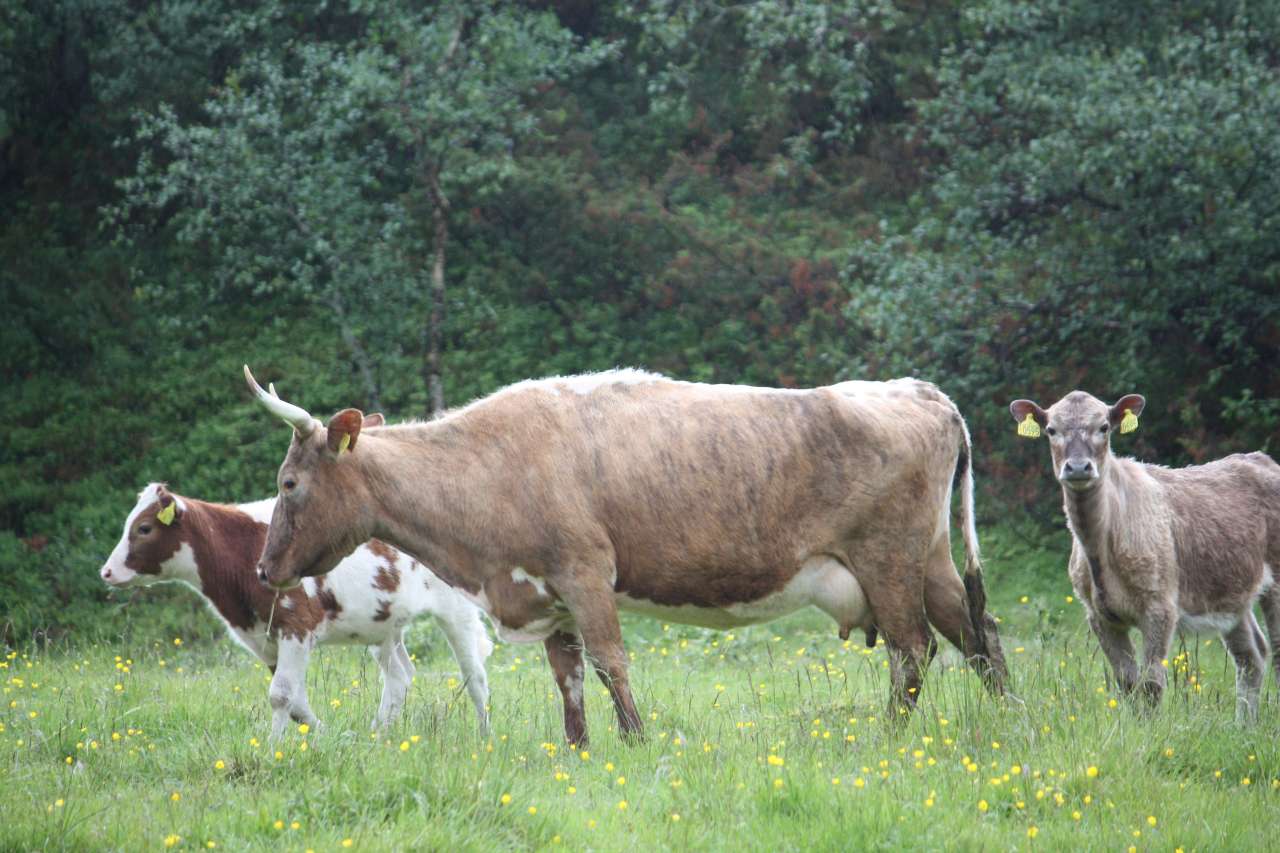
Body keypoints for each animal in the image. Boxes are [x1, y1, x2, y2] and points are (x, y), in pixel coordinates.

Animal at [97, 479, 488, 737]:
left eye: (144, 528)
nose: (107, 571)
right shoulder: (264, 637)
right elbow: (296, 702)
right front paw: (327, 736)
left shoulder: (297, 625)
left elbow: (280, 695)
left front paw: (273, 749)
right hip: (384, 624)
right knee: (399, 676)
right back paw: (378, 735)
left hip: (456, 610)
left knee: (475, 676)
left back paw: (485, 738)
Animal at [244, 366, 1003, 742]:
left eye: (288, 483)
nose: (262, 569)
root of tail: (919, 390)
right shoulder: (550, 599)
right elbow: (570, 679)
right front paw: (579, 753)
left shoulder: (584, 573)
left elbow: (611, 664)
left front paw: (637, 743)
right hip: (931, 560)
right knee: (977, 635)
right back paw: (1011, 718)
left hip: (888, 559)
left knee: (913, 650)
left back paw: (888, 738)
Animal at [1008, 391, 1280, 717]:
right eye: (1051, 430)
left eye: (1104, 427)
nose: (1078, 467)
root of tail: (1260, 458)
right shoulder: (1098, 615)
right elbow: (1127, 681)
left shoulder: (1160, 607)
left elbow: (1151, 683)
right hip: (1231, 595)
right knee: (1252, 656)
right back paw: (1244, 725)